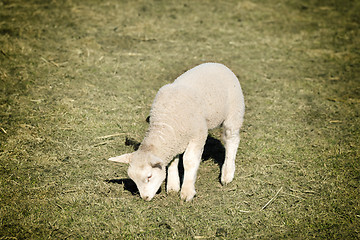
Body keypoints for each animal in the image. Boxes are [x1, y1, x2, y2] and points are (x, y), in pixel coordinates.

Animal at [109, 62, 245, 201]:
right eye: (133, 179)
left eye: (149, 176)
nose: (145, 198)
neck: (165, 123)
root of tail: (215, 63)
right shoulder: (175, 140)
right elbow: (173, 162)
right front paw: (173, 186)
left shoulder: (198, 134)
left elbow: (189, 161)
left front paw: (187, 191)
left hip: (234, 112)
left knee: (232, 140)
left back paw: (227, 174)